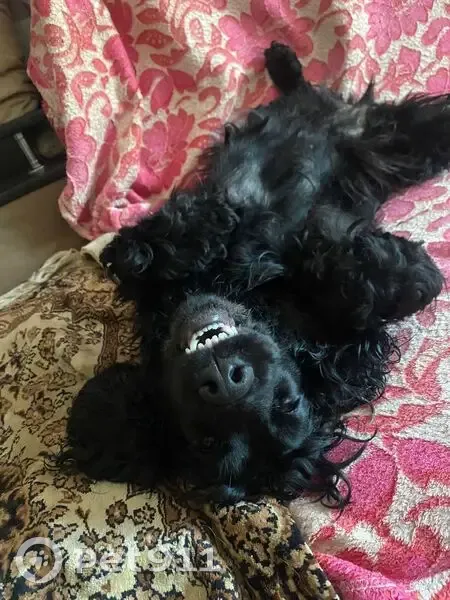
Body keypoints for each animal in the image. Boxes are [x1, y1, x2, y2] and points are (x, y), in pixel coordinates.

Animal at [61, 43, 447, 507]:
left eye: (287, 404)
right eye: (207, 442)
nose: (225, 380)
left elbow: (404, 288)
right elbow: (139, 251)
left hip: (393, 143)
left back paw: (282, 62)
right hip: (396, 144)